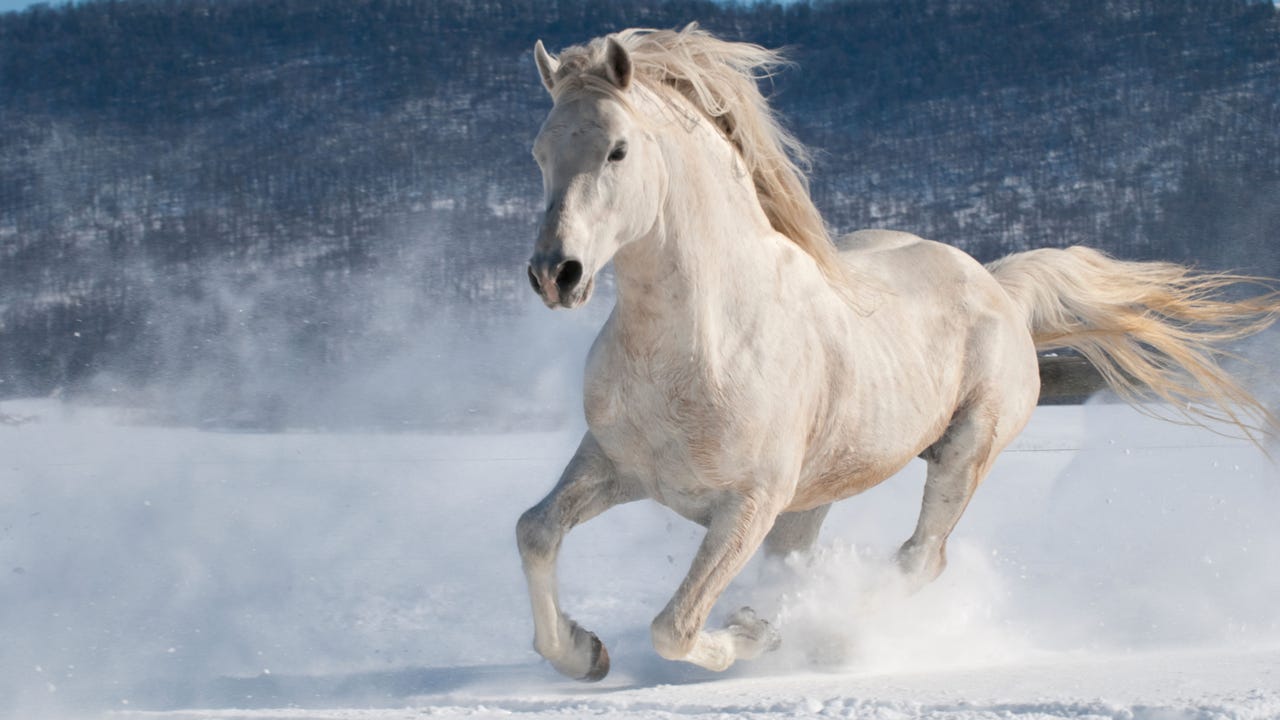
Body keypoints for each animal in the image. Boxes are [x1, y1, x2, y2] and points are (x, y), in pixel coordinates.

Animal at [515, 25, 1280, 681]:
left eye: (617, 149)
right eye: (540, 152)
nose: (556, 274)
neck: (702, 343)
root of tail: (997, 286)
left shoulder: (749, 504)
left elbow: (674, 627)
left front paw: (753, 636)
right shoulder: (613, 466)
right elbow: (535, 532)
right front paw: (584, 653)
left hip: (964, 450)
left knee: (920, 559)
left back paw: (832, 636)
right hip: (817, 492)